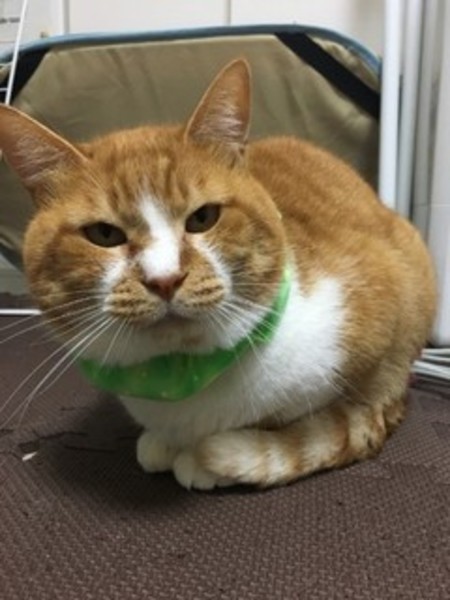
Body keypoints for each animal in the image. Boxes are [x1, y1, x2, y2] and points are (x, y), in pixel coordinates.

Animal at [0, 59, 436, 490]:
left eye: (203, 218)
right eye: (104, 235)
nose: (165, 279)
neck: (183, 374)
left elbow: (338, 417)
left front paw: (209, 461)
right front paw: (167, 443)